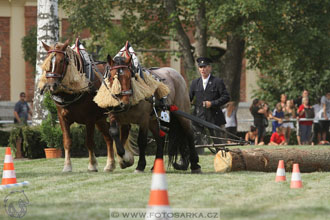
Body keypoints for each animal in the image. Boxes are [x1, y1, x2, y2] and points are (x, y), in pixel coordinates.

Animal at [39, 40, 134, 173]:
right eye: (47, 61)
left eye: (62, 61)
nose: (52, 85)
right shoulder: (62, 117)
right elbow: (67, 141)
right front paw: (67, 166)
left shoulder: (89, 119)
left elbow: (89, 142)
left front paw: (92, 165)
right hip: (100, 119)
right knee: (109, 138)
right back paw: (110, 164)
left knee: (122, 130)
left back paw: (124, 158)